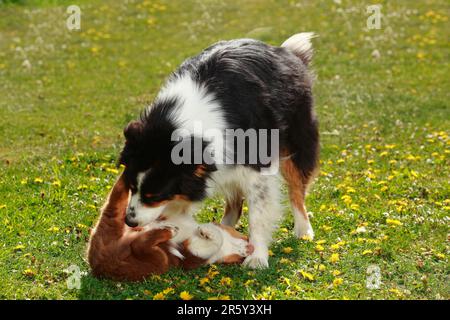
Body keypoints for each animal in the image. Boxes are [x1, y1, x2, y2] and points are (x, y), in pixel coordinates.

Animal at [86, 174, 251, 282]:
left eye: (239, 259)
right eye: (243, 237)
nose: (250, 248)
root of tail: (100, 264)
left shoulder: (192, 255)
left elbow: (214, 241)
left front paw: (206, 230)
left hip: (158, 260)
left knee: (139, 244)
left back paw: (169, 231)